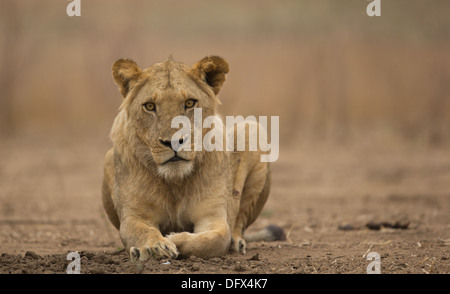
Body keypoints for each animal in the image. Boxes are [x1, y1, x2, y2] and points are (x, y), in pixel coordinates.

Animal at [102, 55, 284, 262]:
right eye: (149, 106)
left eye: (190, 103)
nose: (173, 141)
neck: (174, 181)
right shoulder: (133, 217)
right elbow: (142, 231)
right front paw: (155, 246)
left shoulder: (213, 217)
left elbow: (214, 239)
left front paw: (171, 238)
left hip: (253, 128)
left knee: (239, 222)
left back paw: (237, 242)